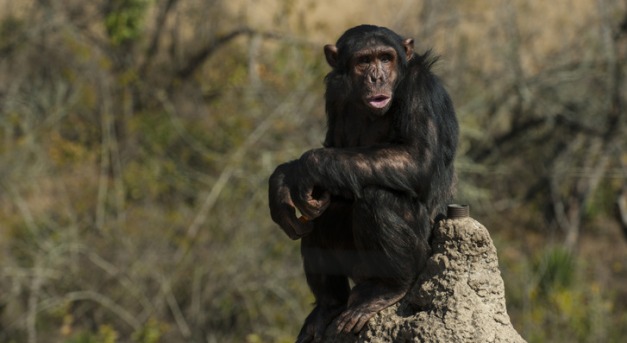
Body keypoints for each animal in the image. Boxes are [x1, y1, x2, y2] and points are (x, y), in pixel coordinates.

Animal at [268, 25, 458, 342]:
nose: (377, 77)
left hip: (419, 256)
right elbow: (333, 147)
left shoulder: (421, 89)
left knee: (378, 198)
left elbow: (417, 158)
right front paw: (283, 179)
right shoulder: (334, 94)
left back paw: (389, 288)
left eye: (385, 58)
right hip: (358, 271)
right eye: (364, 61)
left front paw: (305, 168)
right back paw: (328, 307)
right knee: (324, 214)